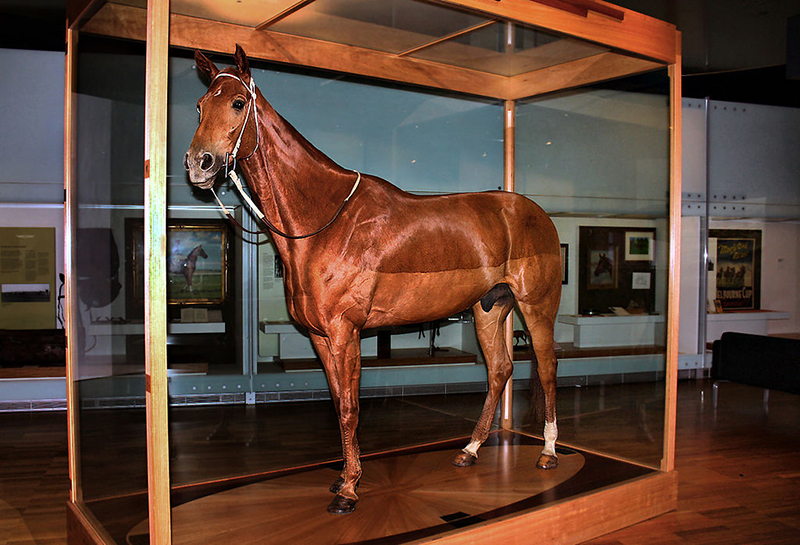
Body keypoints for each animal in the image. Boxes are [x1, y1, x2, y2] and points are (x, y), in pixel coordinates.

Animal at [184, 45, 562, 515]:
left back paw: (548, 451)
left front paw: (348, 489)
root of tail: (537, 214)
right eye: (200, 106)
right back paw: (470, 450)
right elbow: (336, 403)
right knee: (500, 371)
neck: (324, 221)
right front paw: (344, 477)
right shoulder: (321, 337)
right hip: (488, 309)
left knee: (547, 367)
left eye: (237, 103)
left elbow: (350, 407)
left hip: (536, 307)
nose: (198, 164)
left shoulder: (345, 332)